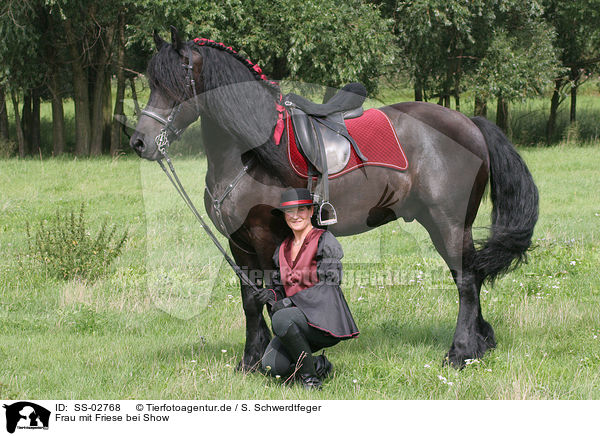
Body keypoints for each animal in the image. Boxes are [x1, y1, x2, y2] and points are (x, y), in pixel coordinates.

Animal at [127, 28, 540, 368]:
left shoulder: (268, 238)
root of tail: (470, 123)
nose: (140, 142)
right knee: (473, 276)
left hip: (448, 223)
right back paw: (481, 343)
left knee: (467, 280)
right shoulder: (238, 242)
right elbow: (250, 300)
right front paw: (250, 361)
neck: (248, 155)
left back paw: (460, 352)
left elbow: (275, 296)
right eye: (152, 83)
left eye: (174, 83)